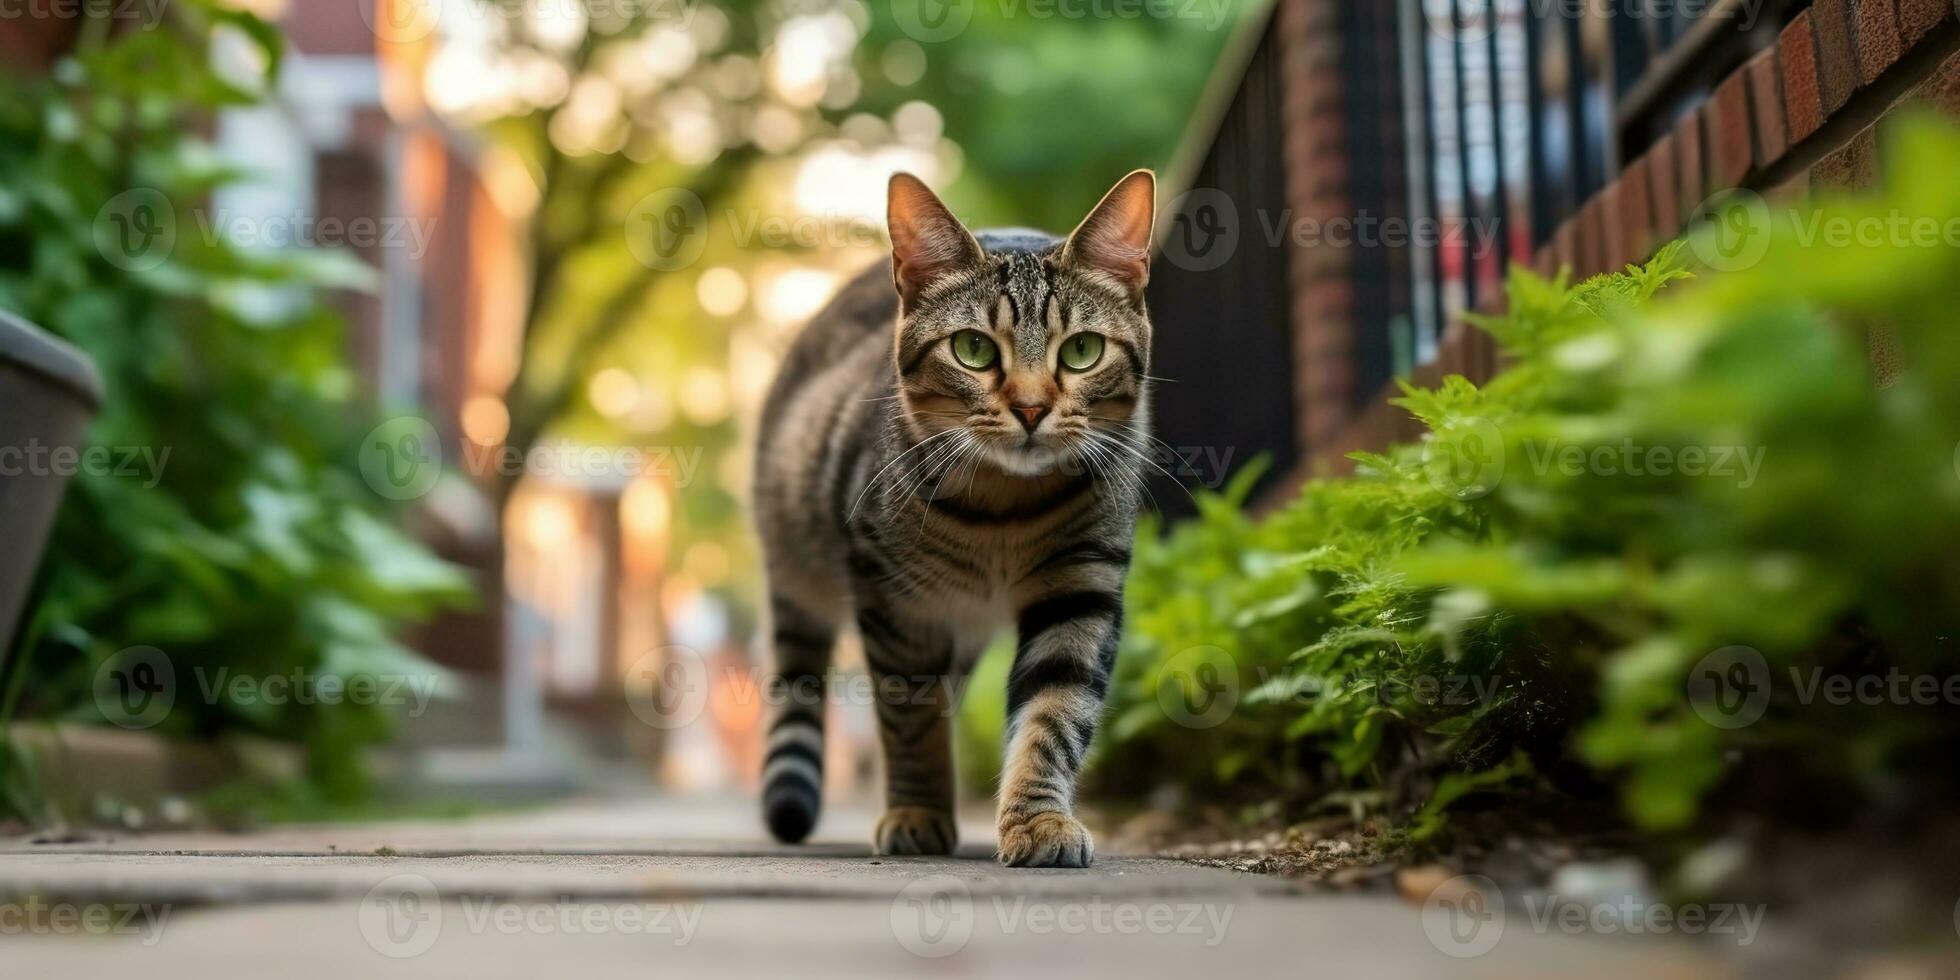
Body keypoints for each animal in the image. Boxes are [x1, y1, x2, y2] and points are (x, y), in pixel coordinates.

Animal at [744, 172, 1144, 870]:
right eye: (973, 349)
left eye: (1083, 351)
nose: (1032, 408)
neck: (1005, 509)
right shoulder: (896, 605)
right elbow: (909, 722)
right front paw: (918, 810)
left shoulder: (1082, 588)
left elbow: (1054, 714)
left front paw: (1038, 819)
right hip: (799, 575)